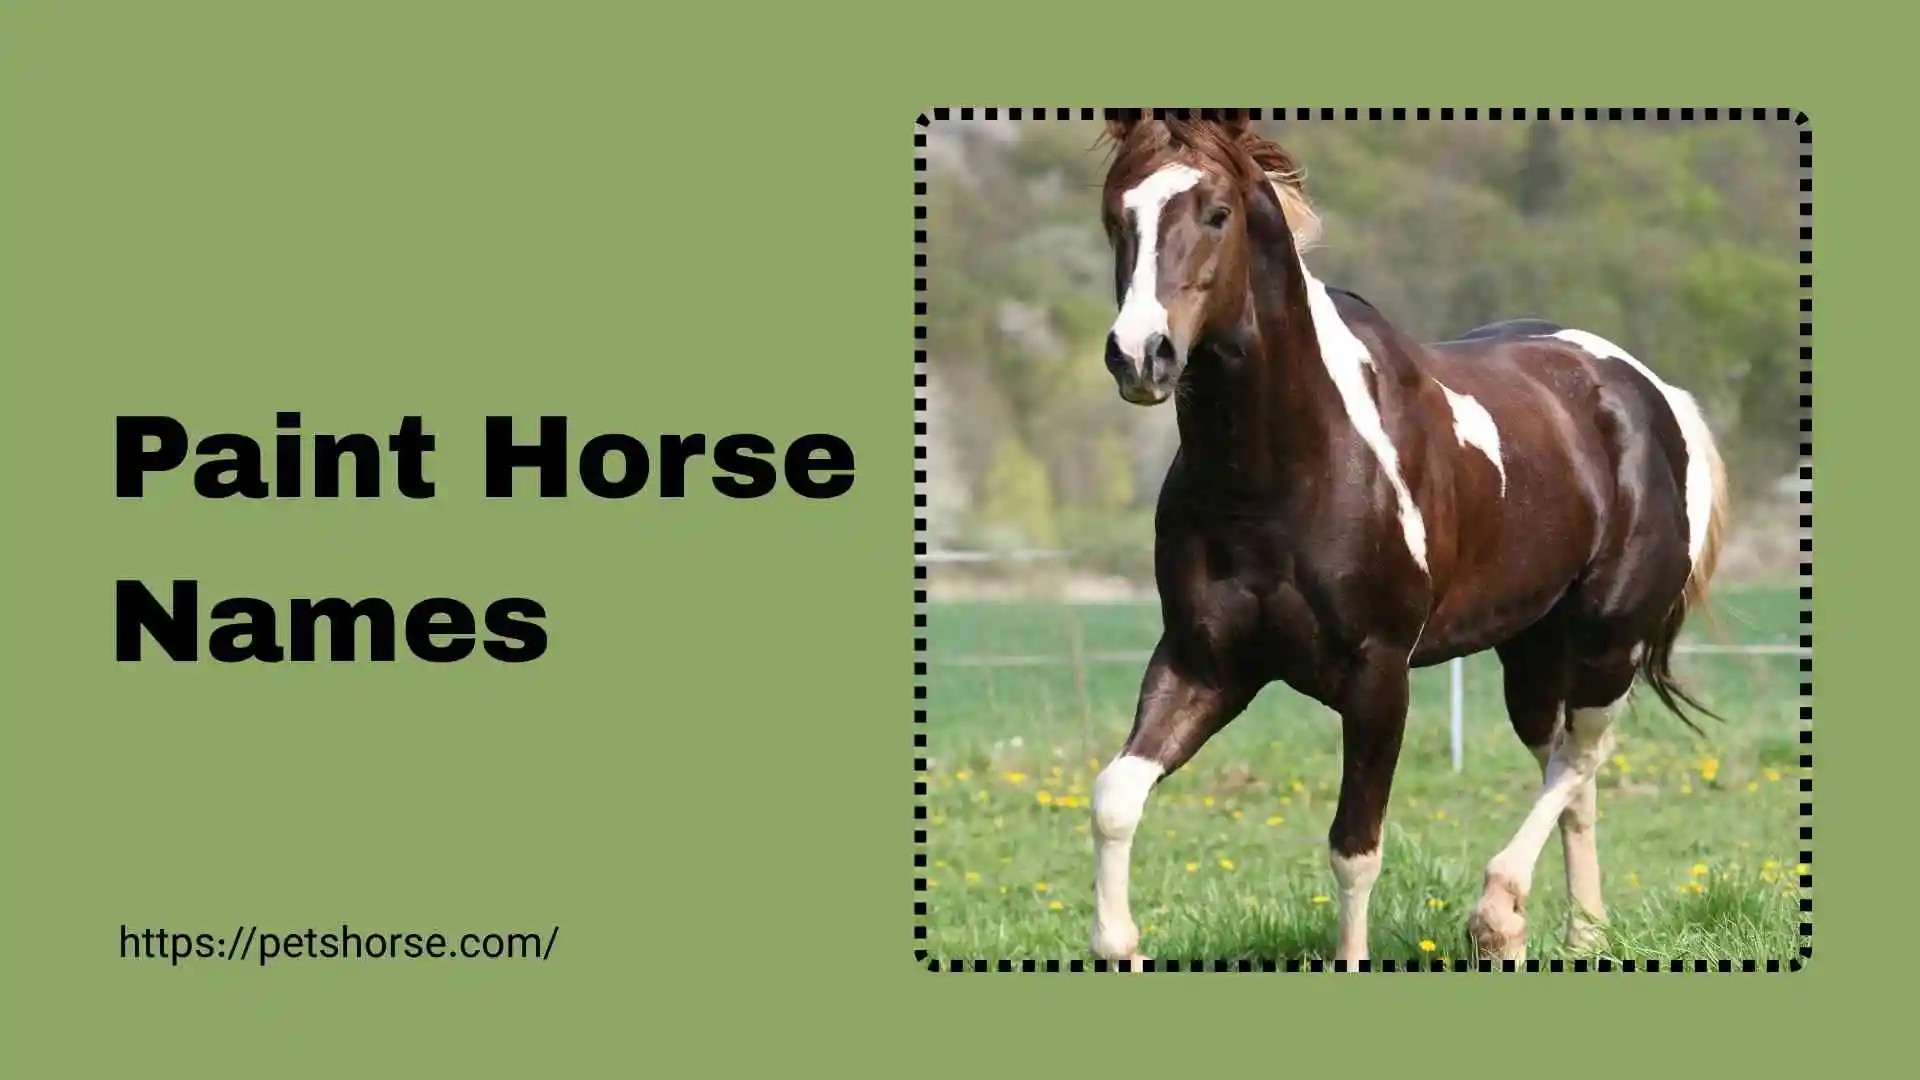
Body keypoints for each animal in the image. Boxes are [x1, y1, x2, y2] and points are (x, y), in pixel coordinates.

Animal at [1086, 109, 1730, 966]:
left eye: (1216, 213)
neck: (1278, 470)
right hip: (1531, 652)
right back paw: (1579, 932)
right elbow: (1115, 795)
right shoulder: (1203, 662)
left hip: (1606, 639)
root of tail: (1651, 393)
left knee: (1583, 754)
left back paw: (1500, 913)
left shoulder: (1379, 673)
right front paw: (1118, 944)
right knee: (1566, 767)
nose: (1140, 356)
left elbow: (1355, 846)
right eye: (1116, 213)